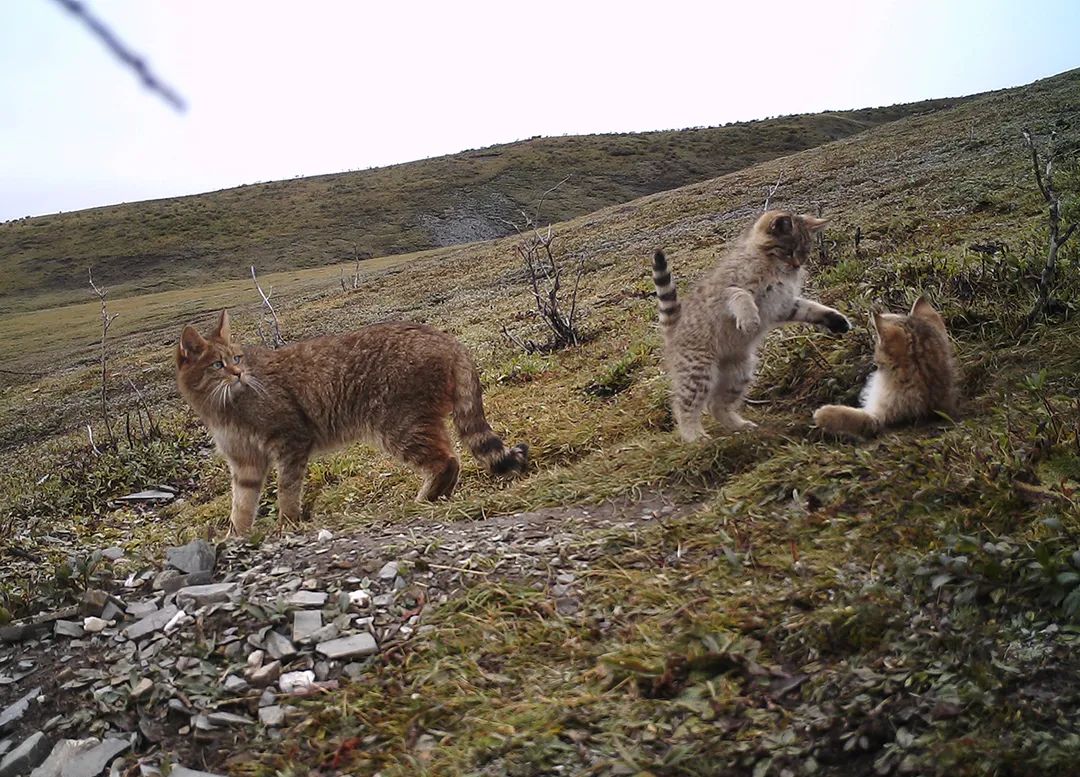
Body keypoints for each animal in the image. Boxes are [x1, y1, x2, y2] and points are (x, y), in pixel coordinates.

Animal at [173, 309, 527, 536]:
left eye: (236, 358)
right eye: (218, 364)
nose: (238, 373)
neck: (221, 407)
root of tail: (447, 338)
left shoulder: (291, 439)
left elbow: (287, 489)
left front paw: (286, 524)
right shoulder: (244, 462)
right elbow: (242, 505)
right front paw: (236, 536)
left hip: (398, 424)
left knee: (447, 461)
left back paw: (423, 500)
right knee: (451, 460)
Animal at [648, 209, 851, 440]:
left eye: (805, 252)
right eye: (788, 251)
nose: (797, 266)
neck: (773, 267)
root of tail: (674, 329)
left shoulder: (783, 305)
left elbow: (811, 308)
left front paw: (836, 319)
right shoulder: (725, 292)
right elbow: (740, 295)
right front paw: (749, 318)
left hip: (739, 372)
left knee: (715, 405)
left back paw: (738, 425)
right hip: (698, 371)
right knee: (684, 406)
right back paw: (694, 436)